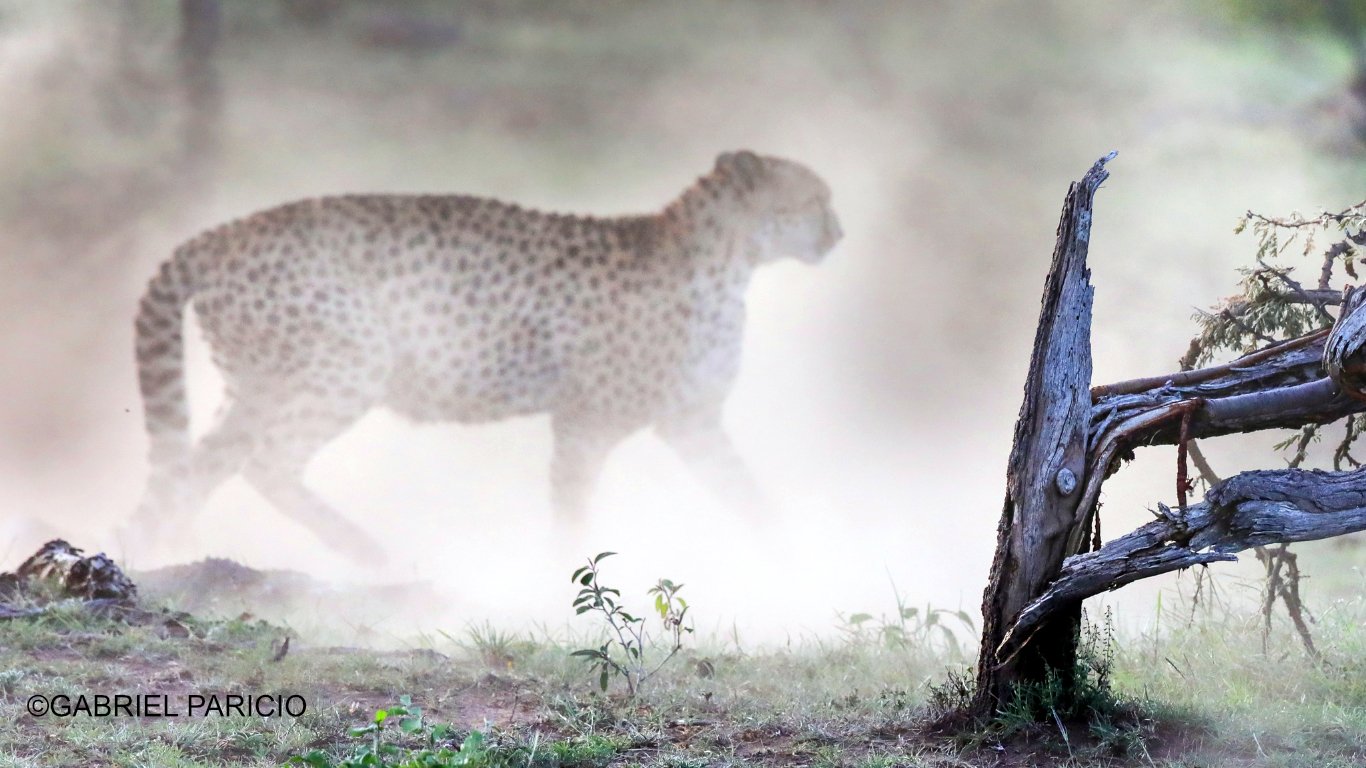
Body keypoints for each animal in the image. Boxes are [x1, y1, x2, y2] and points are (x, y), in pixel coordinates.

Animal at [128, 150, 842, 561]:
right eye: (814, 199)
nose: (839, 232)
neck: (731, 258)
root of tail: (221, 232)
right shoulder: (586, 422)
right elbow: (572, 514)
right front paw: (561, 588)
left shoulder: (693, 421)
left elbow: (748, 495)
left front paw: (798, 561)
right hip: (350, 362)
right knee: (266, 463)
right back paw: (374, 556)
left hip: (256, 384)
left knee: (195, 469)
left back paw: (166, 554)